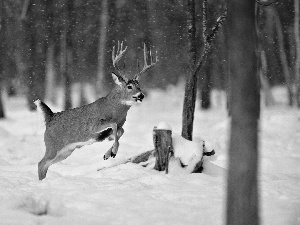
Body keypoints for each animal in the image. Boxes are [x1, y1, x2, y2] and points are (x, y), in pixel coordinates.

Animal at [35, 41, 157, 179]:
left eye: (139, 86)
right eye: (129, 86)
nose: (141, 95)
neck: (114, 110)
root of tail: (50, 116)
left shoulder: (120, 125)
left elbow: (121, 131)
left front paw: (108, 154)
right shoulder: (94, 126)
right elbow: (114, 125)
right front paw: (113, 152)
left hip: (66, 151)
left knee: (45, 165)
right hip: (52, 145)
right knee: (41, 163)